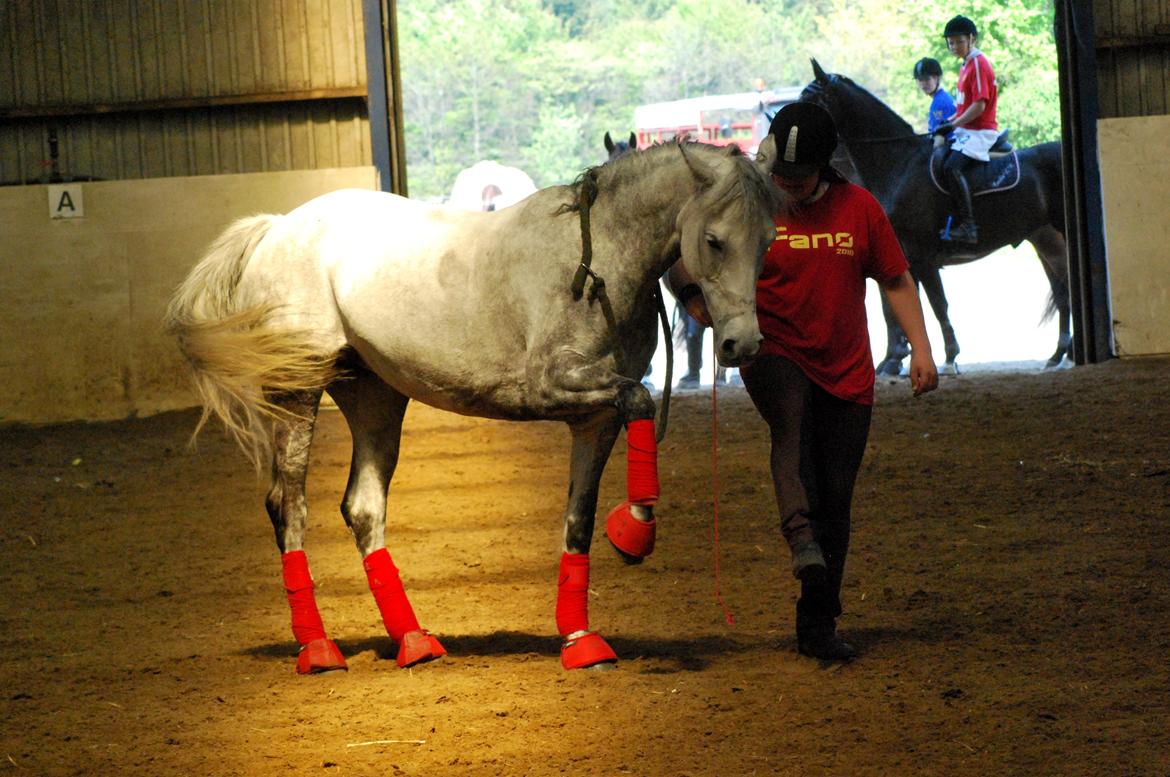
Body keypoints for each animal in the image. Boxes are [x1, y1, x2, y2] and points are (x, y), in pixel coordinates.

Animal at [164, 139, 776, 674]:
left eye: (769, 240)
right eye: (715, 240)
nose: (741, 345)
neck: (597, 259)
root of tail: (275, 228)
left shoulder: (594, 418)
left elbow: (578, 519)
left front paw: (580, 640)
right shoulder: (553, 385)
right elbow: (642, 398)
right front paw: (636, 533)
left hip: (375, 395)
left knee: (363, 508)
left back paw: (413, 641)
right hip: (298, 390)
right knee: (289, 507)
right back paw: (318, 650)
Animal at [804, 59, 1071, 369]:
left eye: (811, 100)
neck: (898, 165)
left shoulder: (921, 256)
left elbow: (933, 305)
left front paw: (944, 356)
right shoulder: (905, 258)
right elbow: (904, 306)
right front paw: (901, 359)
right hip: (1045, 243)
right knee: (1063, 292)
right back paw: (1059, 354)